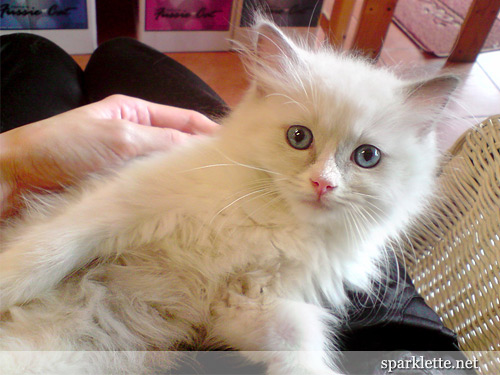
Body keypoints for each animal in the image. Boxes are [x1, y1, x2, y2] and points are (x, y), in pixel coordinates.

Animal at [0, 19, 458, 375]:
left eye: (366, 157)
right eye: (299, 138)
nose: (323, 184)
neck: (271, 223)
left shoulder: (255, 302)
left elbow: (302, 352)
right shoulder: (122, 201)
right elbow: (45, 254)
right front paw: (7, 286)